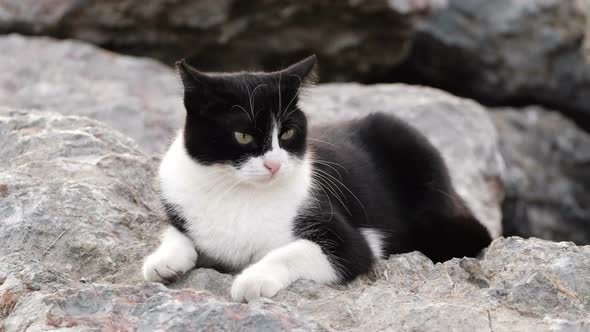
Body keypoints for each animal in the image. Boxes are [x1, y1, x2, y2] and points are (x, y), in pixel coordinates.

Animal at [143, 55, 494, 302]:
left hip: (409, 141)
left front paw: (253, 279)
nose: (274, 164)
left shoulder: (350, 240)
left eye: (288, 132)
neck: (238, 192)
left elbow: (294, 251)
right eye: (243, 135)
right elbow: (175, 230)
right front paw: (163, 261)